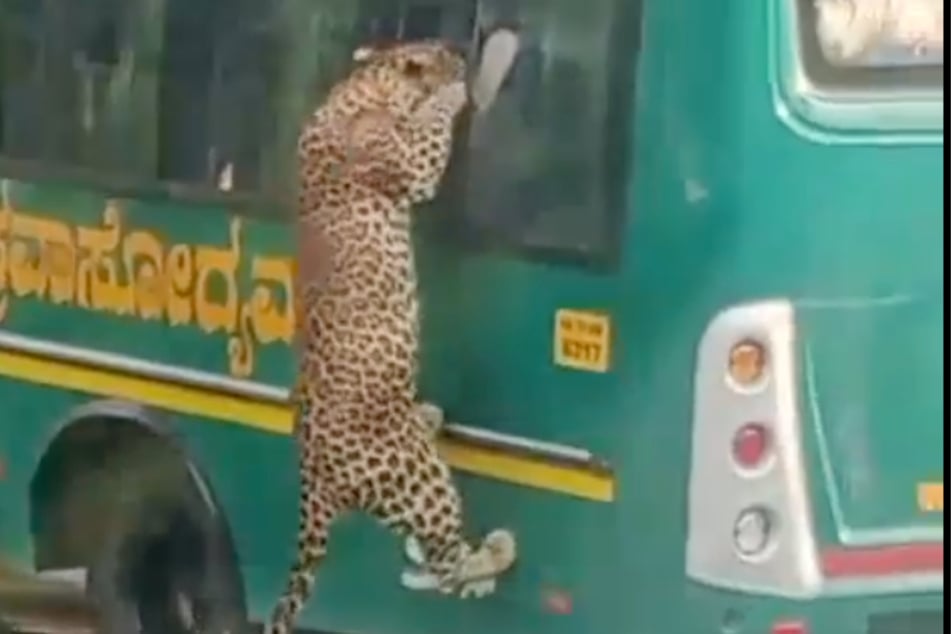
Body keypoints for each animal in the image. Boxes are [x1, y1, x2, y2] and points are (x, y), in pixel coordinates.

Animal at [266, 39, 520, 632]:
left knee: (436, 559)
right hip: (419, 480)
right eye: (444, 51)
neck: (364, 84)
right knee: (445, 566)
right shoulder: (411, 162)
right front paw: (454, 90)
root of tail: (314, 478)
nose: (461, 53)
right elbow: (431, 128)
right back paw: (496, 552)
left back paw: (429, 418)